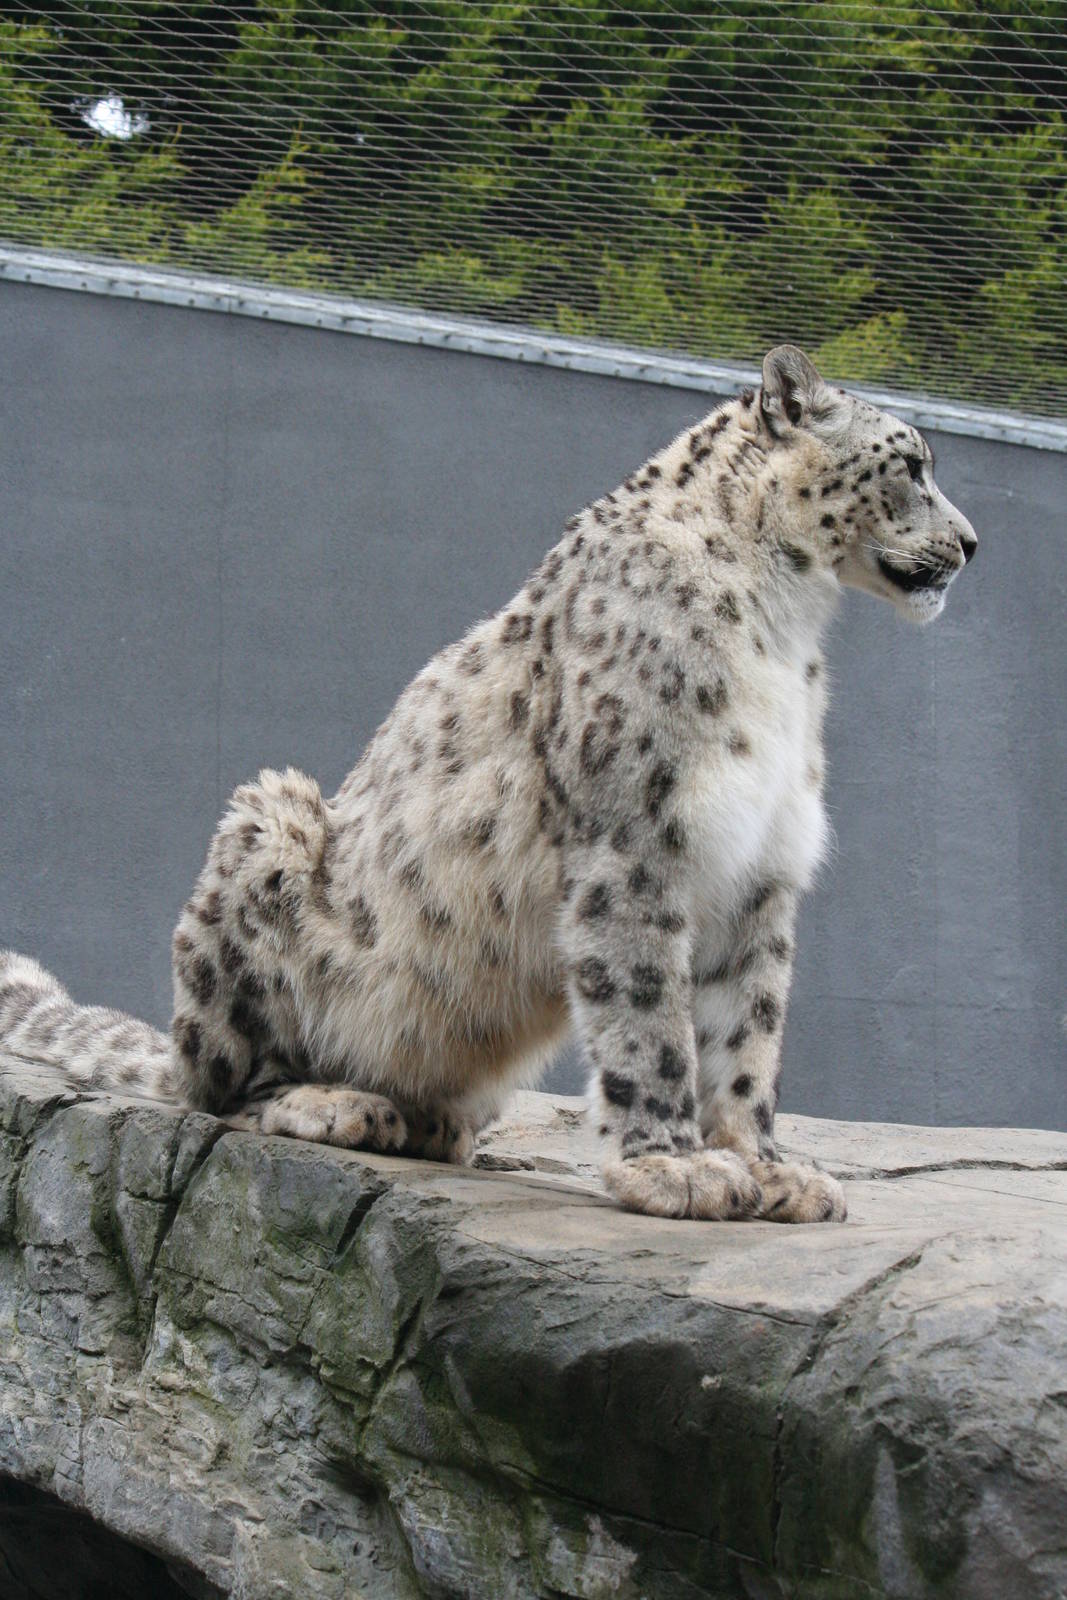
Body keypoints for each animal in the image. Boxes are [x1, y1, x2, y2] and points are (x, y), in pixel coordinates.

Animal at [0, 346, 977, 1223]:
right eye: (913, 465)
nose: (970, 542)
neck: (786, 625)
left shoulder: (763, 866)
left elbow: (746, 1034)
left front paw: (768, 1168)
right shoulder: (637, 841)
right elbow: (650, 1020)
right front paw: (675, 1167)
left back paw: (425, 1121)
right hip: (264, 825)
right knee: (216, 1087)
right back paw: (336, 1102)